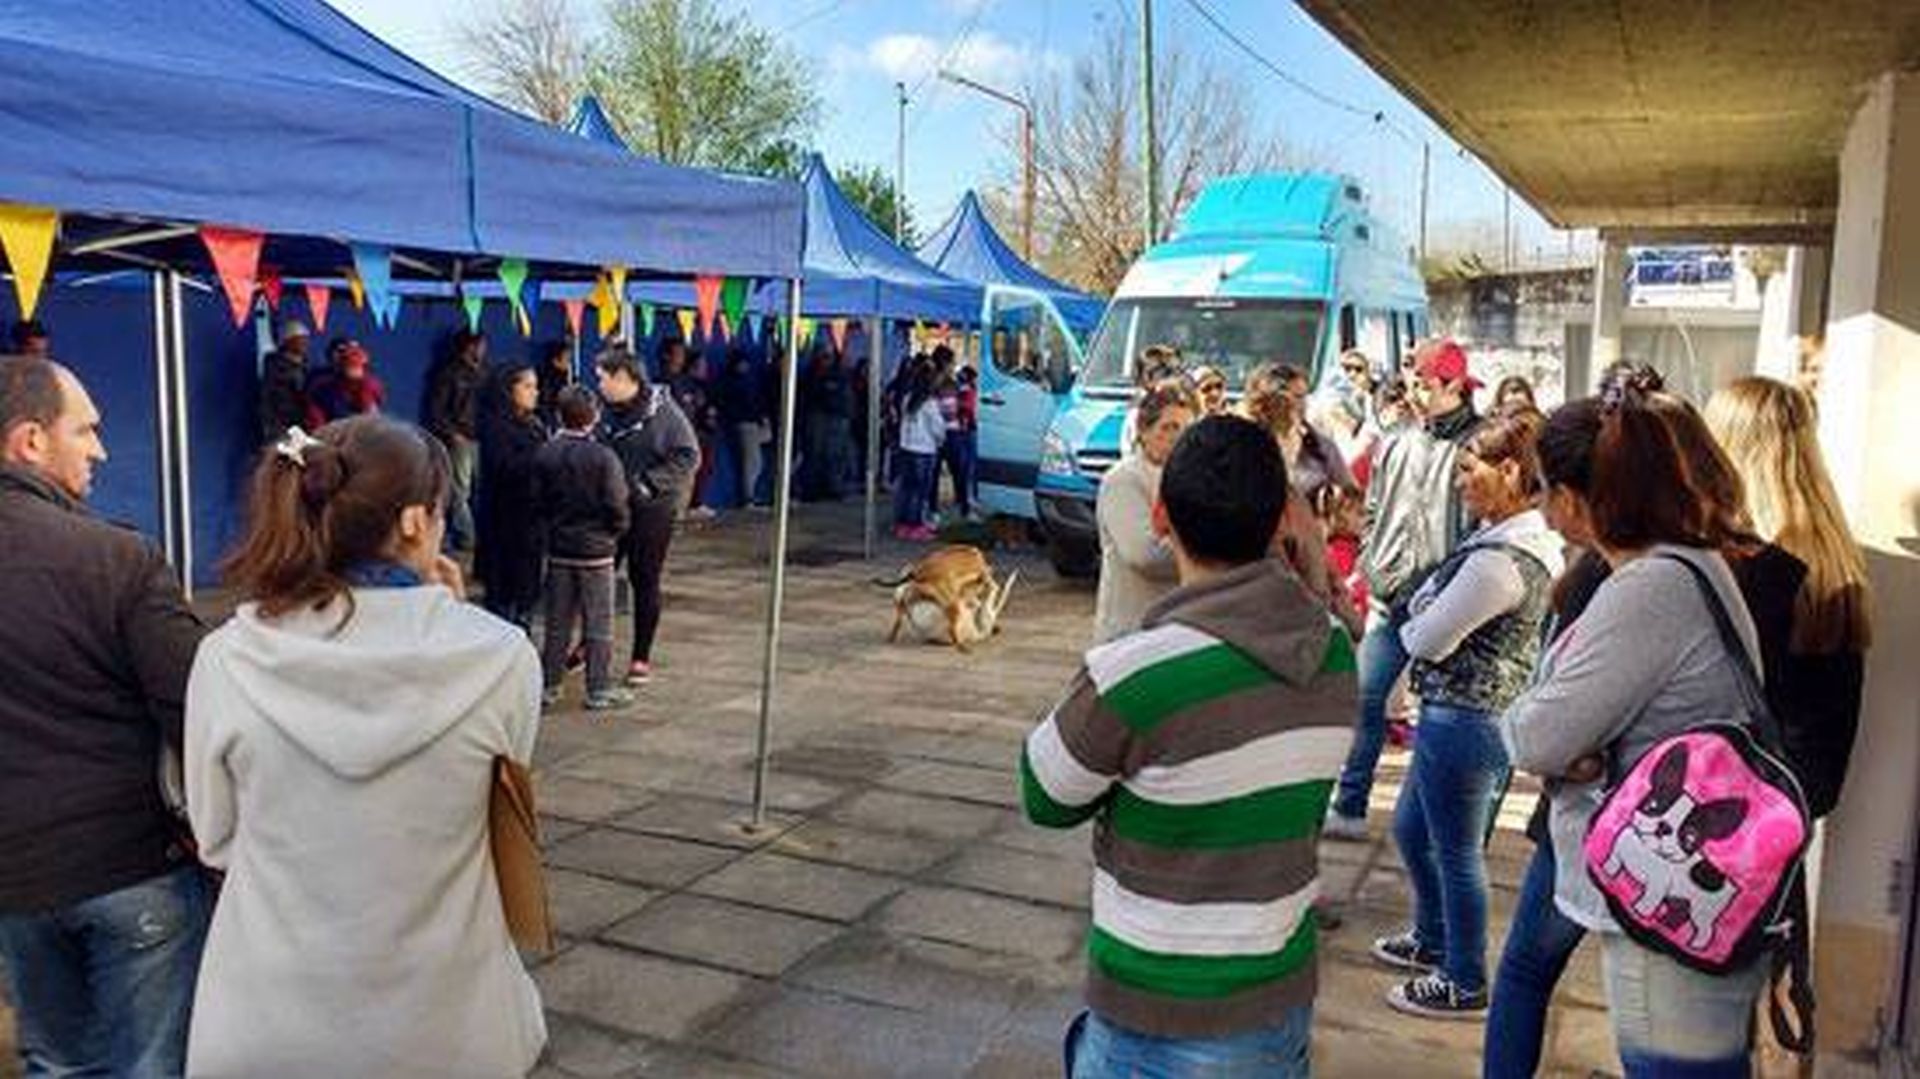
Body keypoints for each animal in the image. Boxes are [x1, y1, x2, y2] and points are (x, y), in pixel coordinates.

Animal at [877, 545, 1016, 652]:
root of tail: (918, 572)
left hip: (912, 594)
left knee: (901, 608)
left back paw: (892, 635)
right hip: (953, 604)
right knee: (951, 630)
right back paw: (962, 647)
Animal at [1600, 742, 1747, 949]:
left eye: (1690, 837)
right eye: (1652, 805)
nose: (1664, 827)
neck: (1647, 850)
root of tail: (1732, 887)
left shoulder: (1657, 886)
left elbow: (1649, 900)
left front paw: (1640, 911)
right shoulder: (1617, 850)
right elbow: (1612, 864)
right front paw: (1607, 872)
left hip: (1702, 912)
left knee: (1706, 930)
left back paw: (1695, 945)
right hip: (1681, 900)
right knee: (1679, 912)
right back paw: (1667, 925)